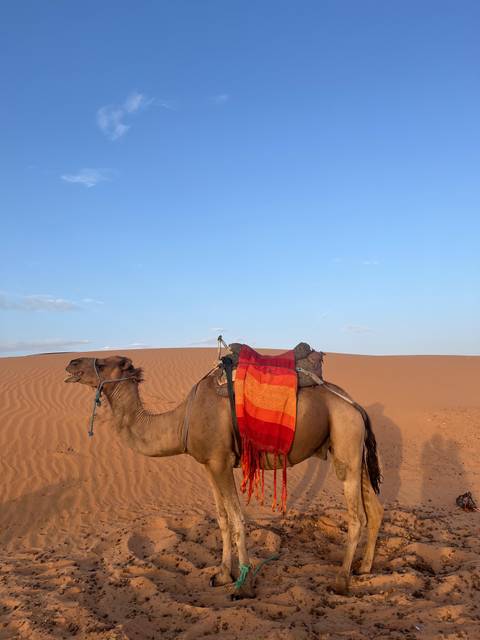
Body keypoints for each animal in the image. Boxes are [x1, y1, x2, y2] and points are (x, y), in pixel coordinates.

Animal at [65, 354, 383, 598]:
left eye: (104, 363)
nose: (70, 363)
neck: (181, 420)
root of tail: (356, 406)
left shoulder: (220, 461)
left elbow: (238, 518)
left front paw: (243, 585)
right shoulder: (209, 465)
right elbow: (222, 519)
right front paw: (221, 574)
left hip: (345, 441)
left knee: (357, 516)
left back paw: (340, 581)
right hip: (354, 452)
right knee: (375, 509)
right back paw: (364, 567)